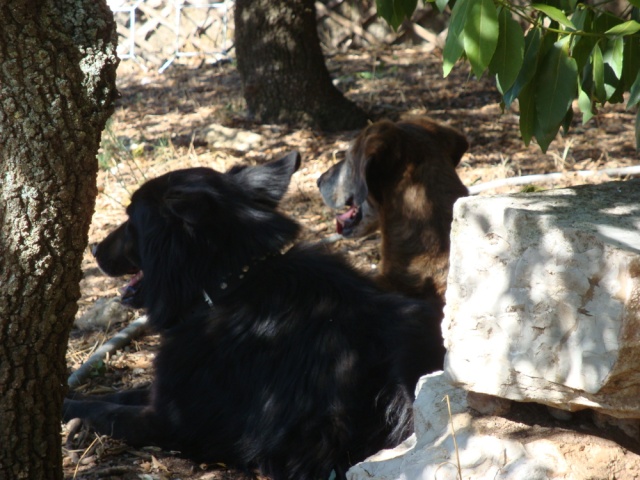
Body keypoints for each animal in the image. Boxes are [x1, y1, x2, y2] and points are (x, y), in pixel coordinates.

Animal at [65, 153, 444, 480]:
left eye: (132, 219)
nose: (93, 248)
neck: (229, 287)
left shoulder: (172, 420)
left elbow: (108, 412)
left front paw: (71, 412)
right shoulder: (172, 390)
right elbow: (121, 394)